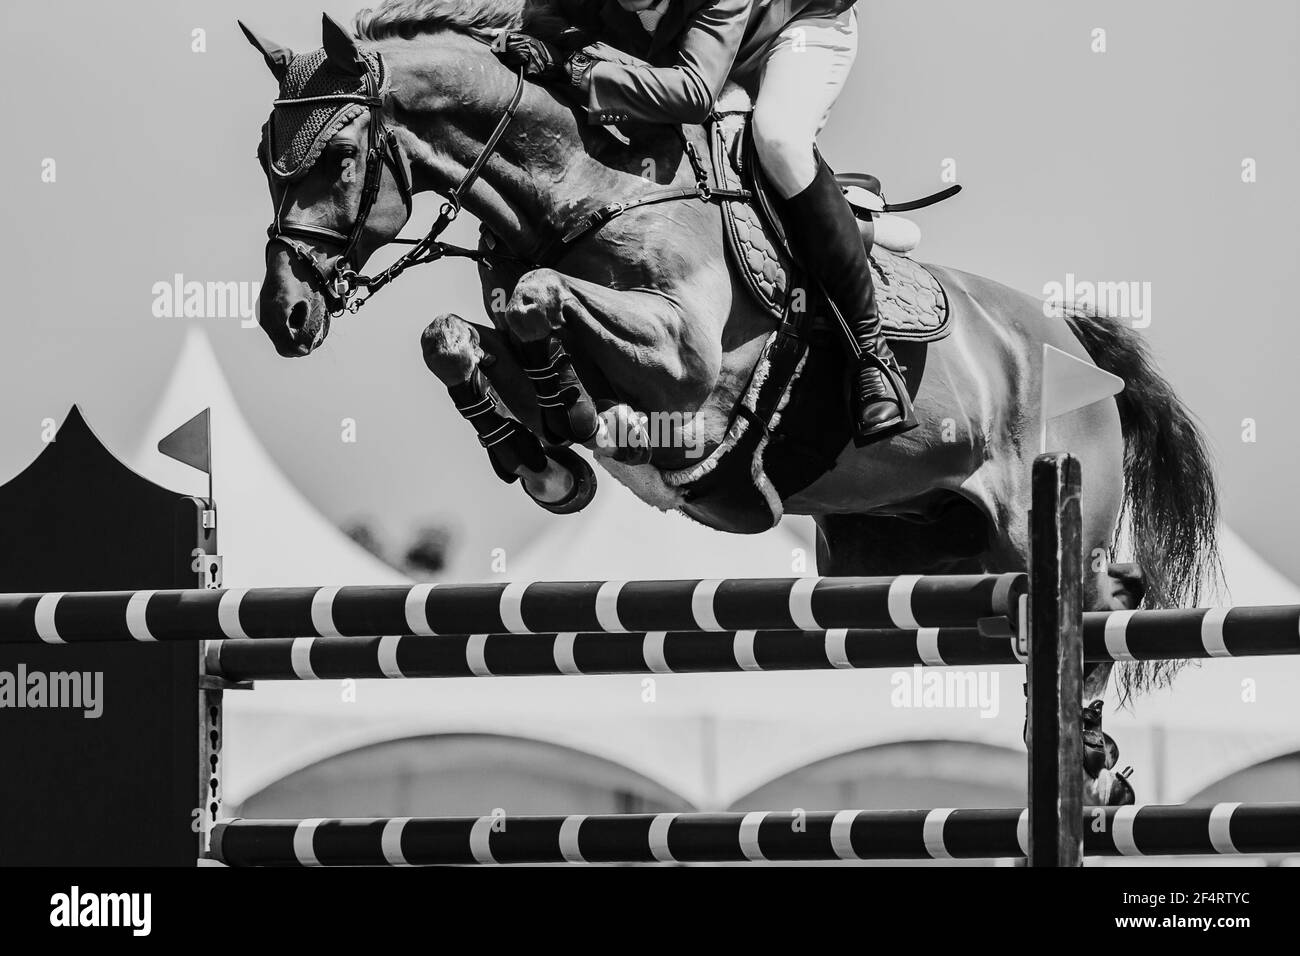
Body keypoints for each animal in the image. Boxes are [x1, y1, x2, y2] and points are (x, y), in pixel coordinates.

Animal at [241, 5, 1216, 806]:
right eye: (262, 159)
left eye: (337, 155)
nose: (284, 316)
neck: (590, 188)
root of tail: (1073, 336)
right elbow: (454, 334)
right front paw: (545, 460)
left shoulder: (689, 361)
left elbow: (538, 302)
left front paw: (597, 432)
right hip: (901, 553)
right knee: (1097, 596)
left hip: (1035, 520)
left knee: (1099, 595)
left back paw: (1092, 764)